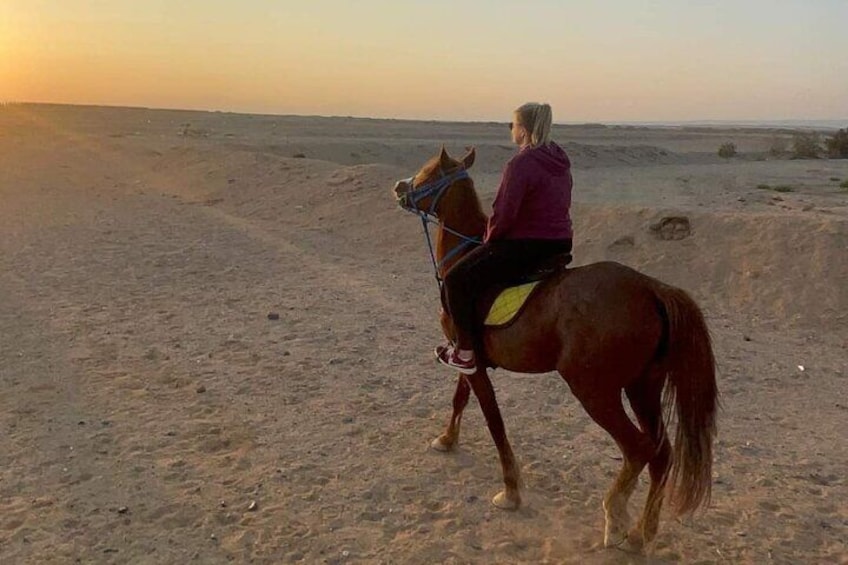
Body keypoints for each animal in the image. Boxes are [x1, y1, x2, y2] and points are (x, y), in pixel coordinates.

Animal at [390, 147, 716, 552]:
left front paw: (511, 491)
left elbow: (494, 422)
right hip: (643, 386)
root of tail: (652, 289)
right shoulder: (469, 356)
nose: (399, 187)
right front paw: (447, 440)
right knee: (661, 453)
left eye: (427, 172)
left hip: (594, 390)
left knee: (638, 448)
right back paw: (642, 533)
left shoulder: (473, 361)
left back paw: (615, 516)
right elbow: (459, 399)